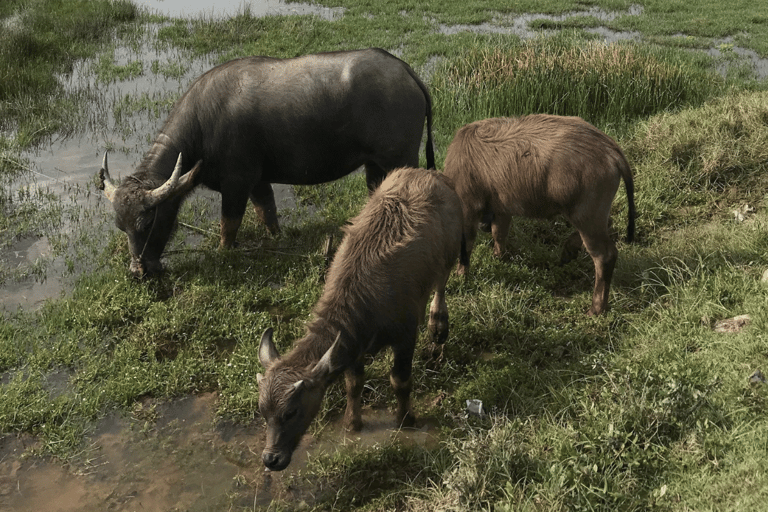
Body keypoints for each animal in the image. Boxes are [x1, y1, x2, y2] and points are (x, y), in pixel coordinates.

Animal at [99, 49, 436, 276]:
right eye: (120, 226)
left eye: (147, 222)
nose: (138, 272)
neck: (203, 126)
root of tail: (405, 70)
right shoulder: (258, 181)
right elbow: (268, 212)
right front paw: (277, 238)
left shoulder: (237, 184)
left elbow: (228, 225)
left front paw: (224, 252)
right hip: (375, 165)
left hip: (401, 158)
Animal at [255, 168, 464, 472]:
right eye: (262, 411)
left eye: (291, 411)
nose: (272, 459)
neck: (363, 298)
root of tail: (427, 172)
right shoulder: (352, 345)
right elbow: (353, 384)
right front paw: (352, 423)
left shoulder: (406, 336)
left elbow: (400, 380)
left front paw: (406, 419)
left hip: (448, 255)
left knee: (441, 284)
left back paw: (438, 323)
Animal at [444, 115, 636, 316]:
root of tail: (610, 149)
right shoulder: (502, 208)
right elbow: (499, 233)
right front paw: (499, 257)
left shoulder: (468, 207)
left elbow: (467, 244)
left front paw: (460, 275)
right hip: (593, 214)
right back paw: (568, 252)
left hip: (587, 215)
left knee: (605, 255)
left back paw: (596, 308)